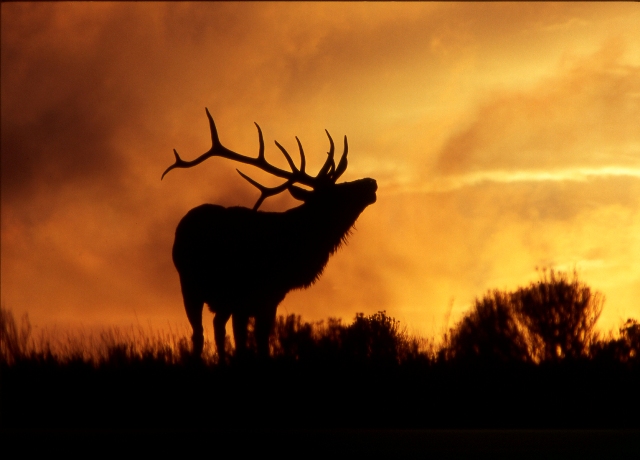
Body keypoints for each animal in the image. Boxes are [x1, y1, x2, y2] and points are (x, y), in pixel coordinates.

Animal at [162, 108, 378, 360]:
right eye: (335, 194)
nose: (371, 182)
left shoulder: (270, 298)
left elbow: (262, 341)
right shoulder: (244, 297)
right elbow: (243, 343)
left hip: (221, 299)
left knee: (217, 327)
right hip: (190, 286)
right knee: (199, 333)